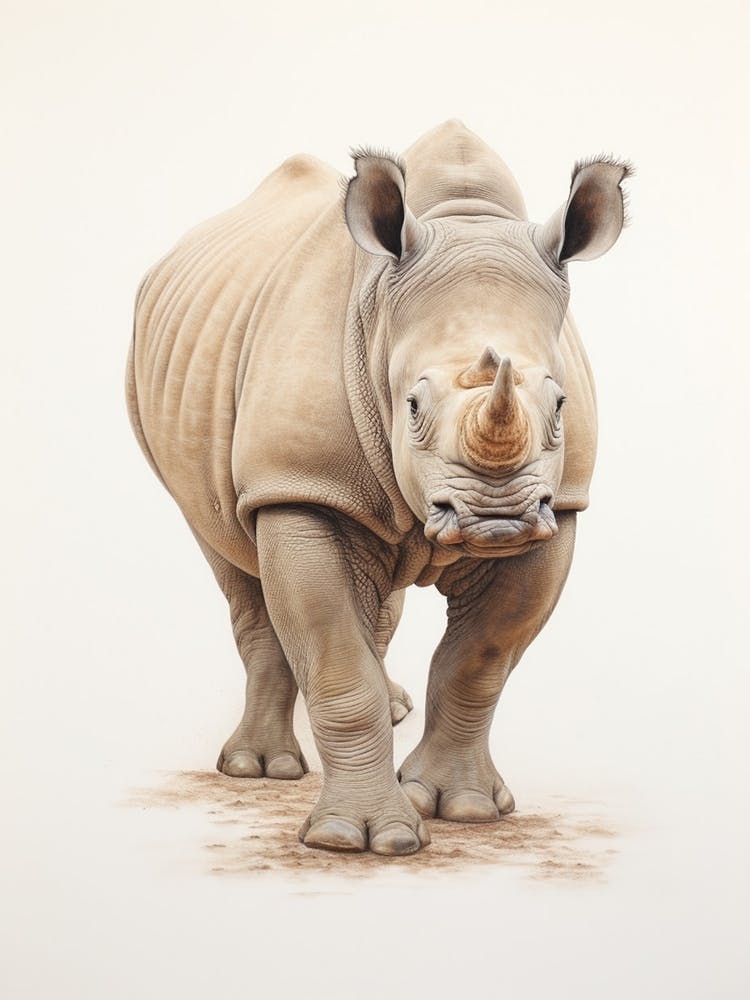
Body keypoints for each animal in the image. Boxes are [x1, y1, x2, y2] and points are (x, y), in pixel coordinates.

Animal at [127, 120, 630, 856]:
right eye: (411, 406)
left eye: (560, 404)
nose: (498, 516)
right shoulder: (300, 483)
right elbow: (336, 659)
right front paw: (359, 838)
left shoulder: (561, 505)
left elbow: (480, 659)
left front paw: (464, 808)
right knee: (234, 559)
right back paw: (259, 768)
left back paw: (393, 708)